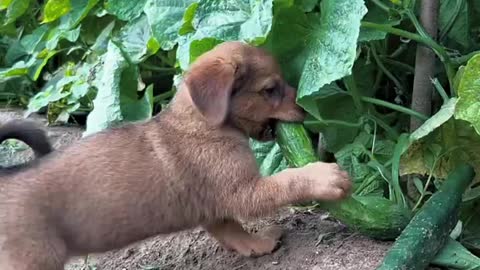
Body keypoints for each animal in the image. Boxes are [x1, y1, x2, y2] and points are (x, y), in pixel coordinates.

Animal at [0, 41, 352, 268]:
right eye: (270, 89)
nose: (305, 107)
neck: (200, 122)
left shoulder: (215, 208)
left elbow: (232, 232)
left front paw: (258, 245)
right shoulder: (242, 191)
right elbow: (287, 180)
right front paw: (325, 175)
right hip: (35, 259)